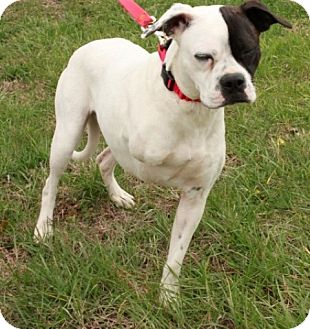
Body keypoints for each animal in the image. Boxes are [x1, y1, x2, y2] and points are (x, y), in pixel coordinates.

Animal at [35, 1, 292, 300]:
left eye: (248, 50)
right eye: (203, 56)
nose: (233, 82)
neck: (188, 105)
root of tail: (88, 46)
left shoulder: (195, 198)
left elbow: (176, 253)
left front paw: (168, 297)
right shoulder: (141, 150)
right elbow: (154, 162)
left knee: (103, 158)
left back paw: (117, 195)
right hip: (67, 136)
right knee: (52, 182)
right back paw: (43, 227)